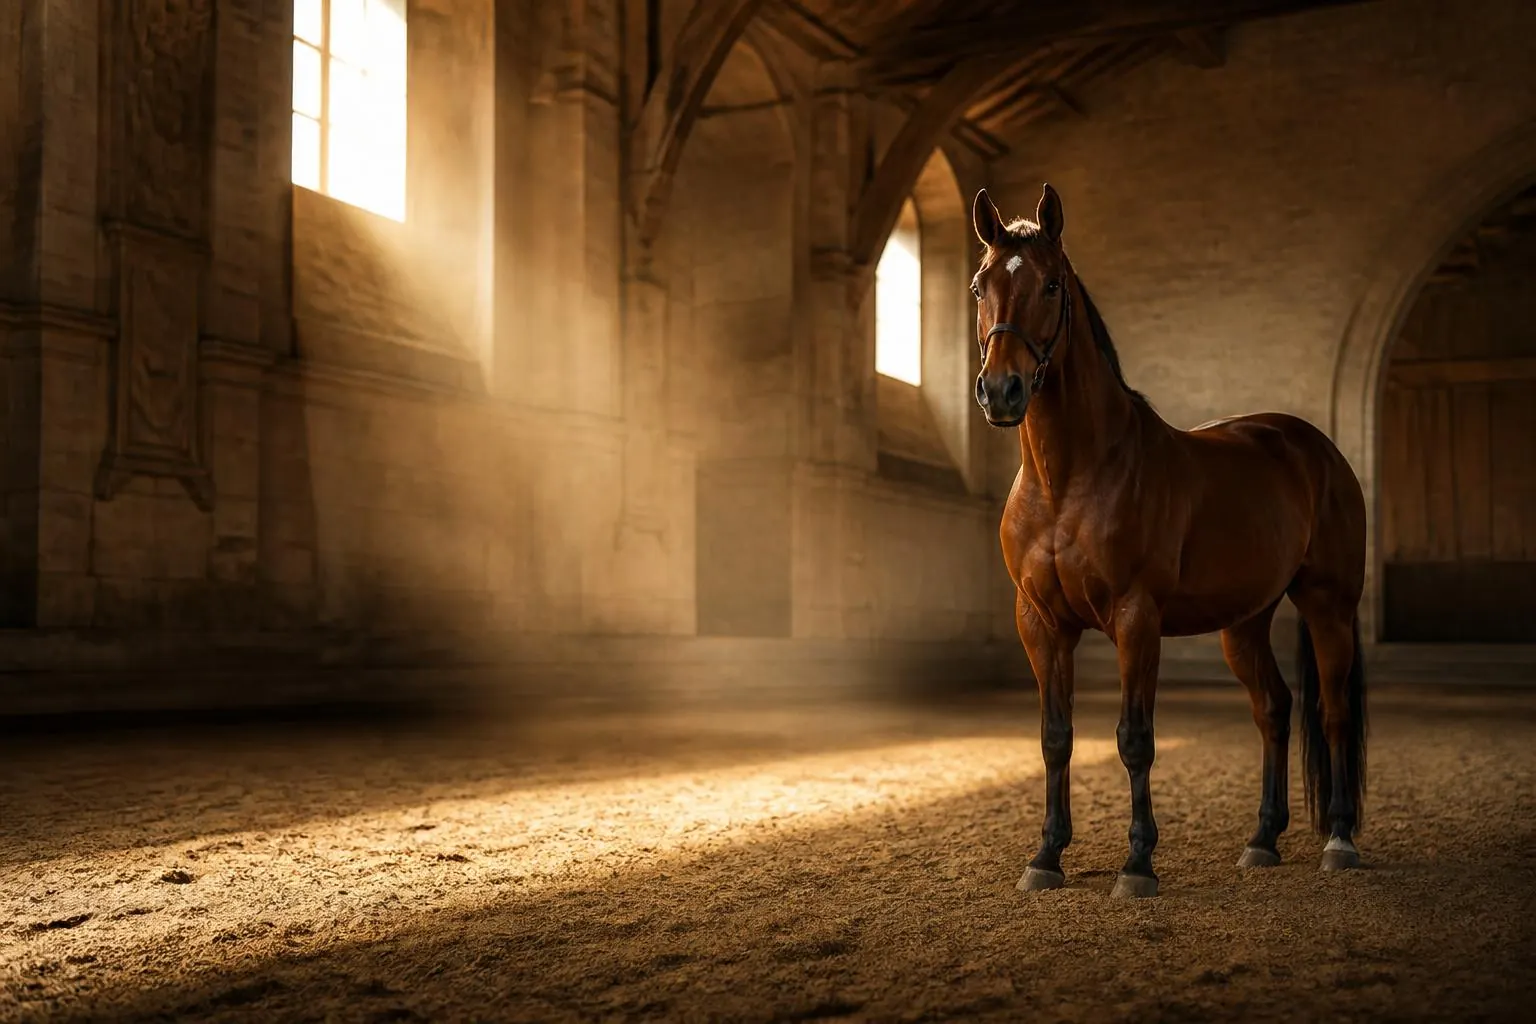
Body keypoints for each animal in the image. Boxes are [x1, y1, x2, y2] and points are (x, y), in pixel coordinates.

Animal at [971, 184, 1368, 899]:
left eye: (1049, 285)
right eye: (979, 285)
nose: (1001, 391)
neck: (1070, 477)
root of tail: (1315, 448)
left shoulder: (1137, 618)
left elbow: (1135, 739)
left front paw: (1137, 864)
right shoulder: (1039, 622)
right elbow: (1055, 737)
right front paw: (1046, 856)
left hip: (1328, 606)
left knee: (1333, 711)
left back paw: (1340, 840)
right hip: (1245, 622)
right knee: (1274, 708)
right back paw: (1262, 841)